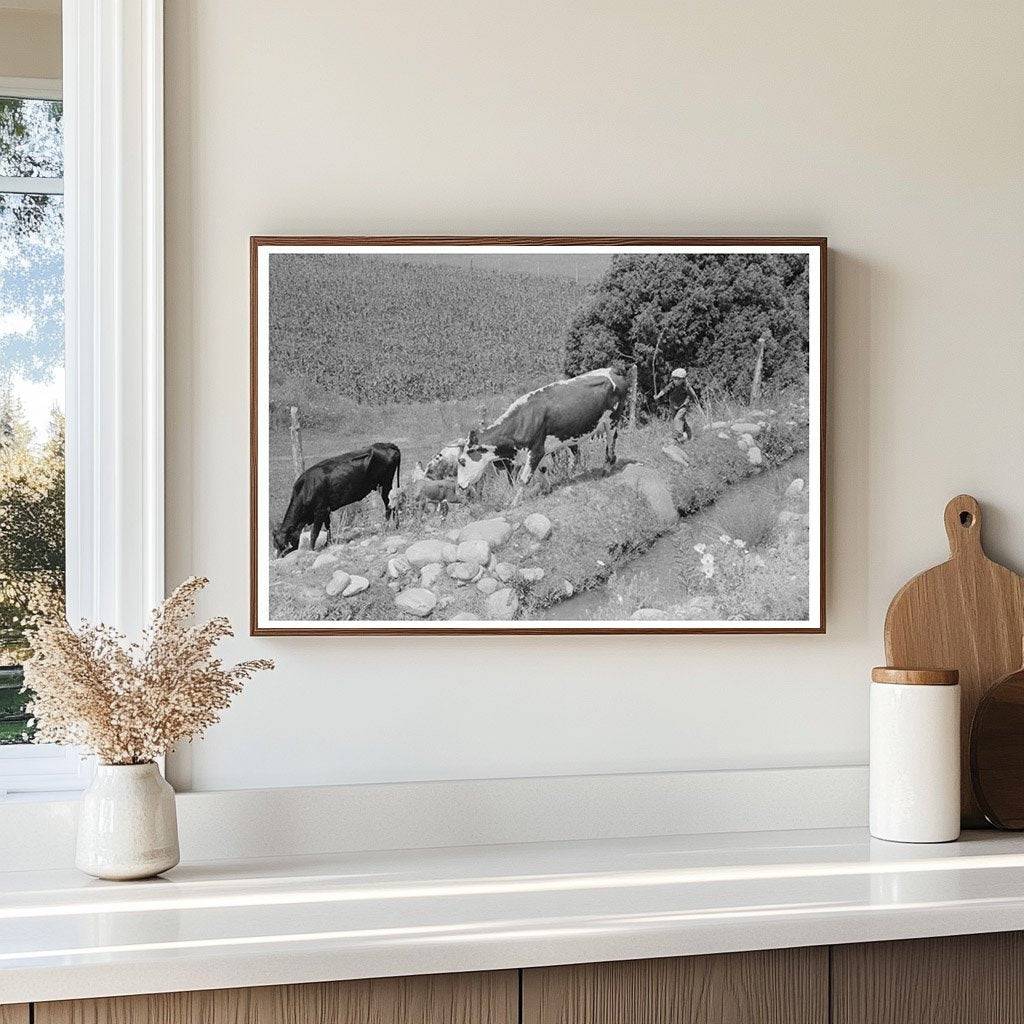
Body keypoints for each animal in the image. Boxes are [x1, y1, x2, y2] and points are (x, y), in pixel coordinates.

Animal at [454, 368, 622, 491]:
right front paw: (547, 489)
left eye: (461, 461)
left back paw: (606, 469)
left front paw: (513, 503)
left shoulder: (536, 450)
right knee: (577, 456)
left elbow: (524, 479)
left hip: (611, 422)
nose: (460, 486)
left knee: (610, 446)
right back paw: (570, 475)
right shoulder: (538, 451)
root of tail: (612, 370)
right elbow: (543, 469)